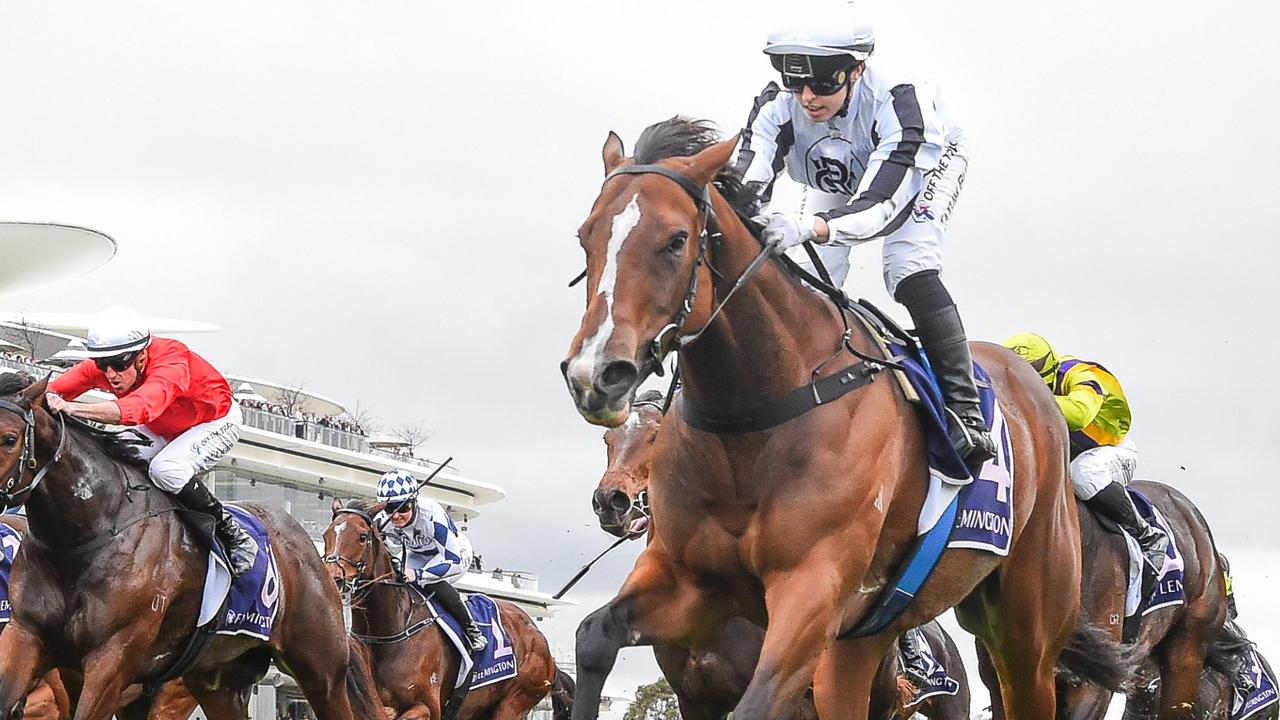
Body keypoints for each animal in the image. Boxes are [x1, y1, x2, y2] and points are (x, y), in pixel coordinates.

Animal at [0, 368, 384, 717]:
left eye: (9, 438)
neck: (88, 535)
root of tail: (308, 548)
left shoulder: (112, 658)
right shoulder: (27, 636)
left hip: (321, 671)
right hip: (217, 680)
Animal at [322, 497, 558, 717]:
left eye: (362, 537)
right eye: (326, 535)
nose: (334, 578)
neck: (389, 632)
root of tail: (536, 634)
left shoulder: (429, 706)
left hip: (516, 701)